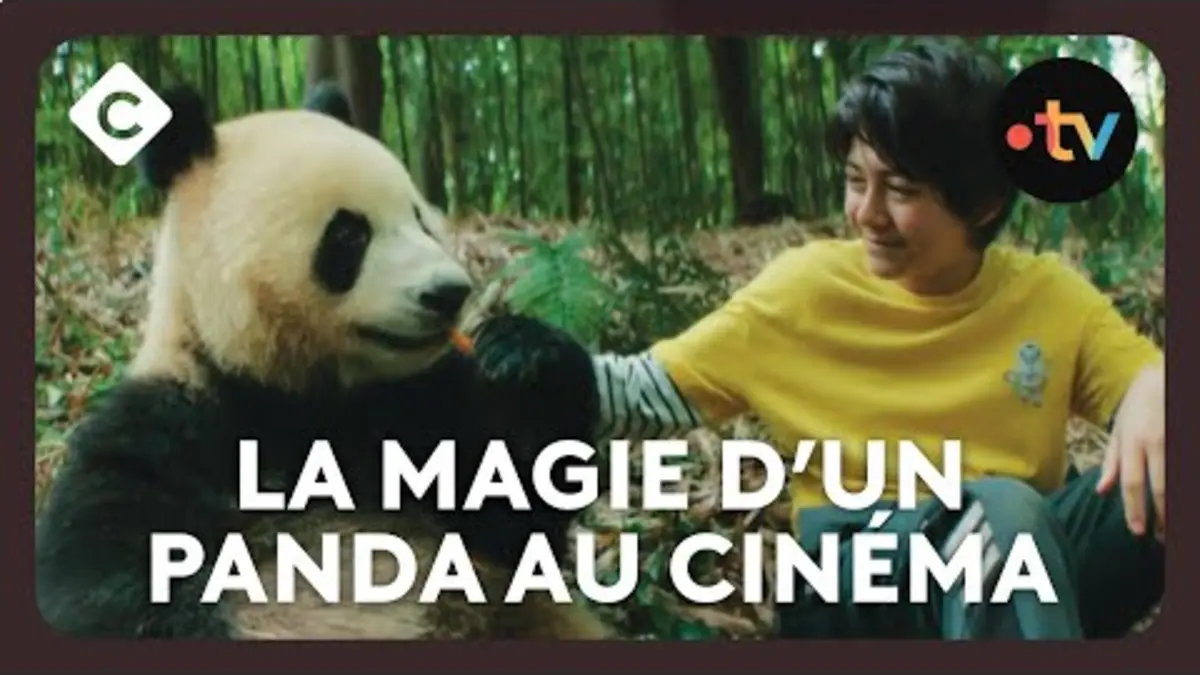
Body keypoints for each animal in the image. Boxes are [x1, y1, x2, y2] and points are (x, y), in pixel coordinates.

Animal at [34, 81, 613, 640]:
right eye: (349, 233)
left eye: (421, 220)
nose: (449, 293)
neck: (297, 392)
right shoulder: (171, 426)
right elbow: (104, 586)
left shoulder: (407, 413)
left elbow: (505, 524)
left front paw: (524, 357)